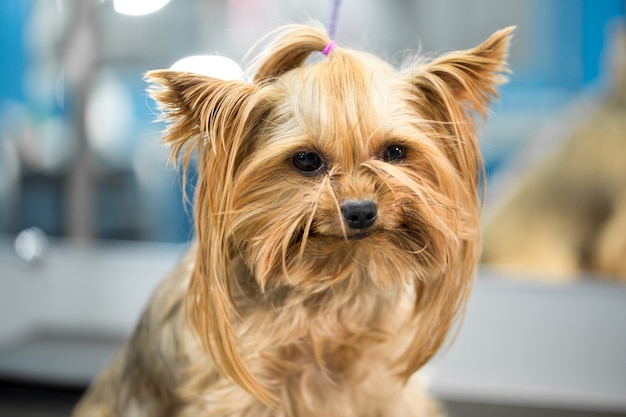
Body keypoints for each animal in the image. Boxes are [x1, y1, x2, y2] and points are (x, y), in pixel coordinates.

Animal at [74, 23, 512, 416]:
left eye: (395, 152)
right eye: (306, 160)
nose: (361, 210)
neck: (332, 282)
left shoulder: (385, 386)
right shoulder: (237, 393)